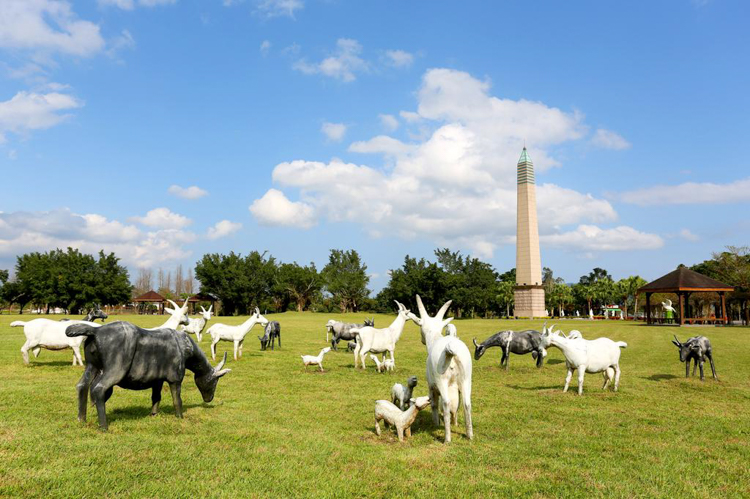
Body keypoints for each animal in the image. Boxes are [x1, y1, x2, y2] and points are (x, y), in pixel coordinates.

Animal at [66, 322, 231, 432]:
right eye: (214, 381)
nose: (209, 399)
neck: (185, 346)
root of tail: (96, 330)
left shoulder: (157, 380)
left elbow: (156, 397)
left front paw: (153, 414)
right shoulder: (175, 379)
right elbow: (177, 399)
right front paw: (179, 417)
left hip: (92, 366)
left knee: (82, 386)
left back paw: (81, 420)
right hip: (114, 370)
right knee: (98, 389)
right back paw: (104, 427)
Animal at [408, 294, 472, 444]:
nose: (422, 340)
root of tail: (451, 351)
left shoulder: (431, 385)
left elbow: (433, 404)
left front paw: (436, 424)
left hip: (441, 379)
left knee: (446, 403)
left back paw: (447, 439)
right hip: (467, 378)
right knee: (467, 403)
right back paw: (469, 435)